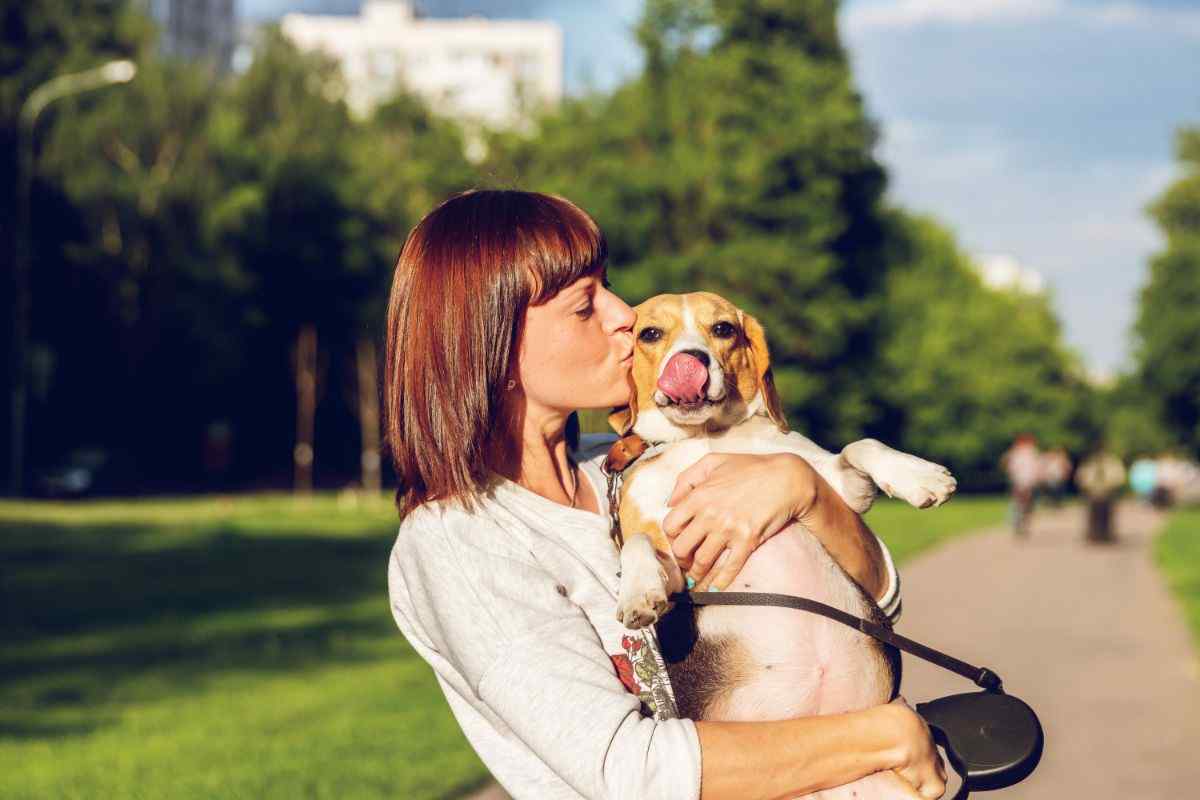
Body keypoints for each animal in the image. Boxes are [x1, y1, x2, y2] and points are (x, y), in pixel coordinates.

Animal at [609, 293, 955, 796]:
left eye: (723, 329)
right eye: (650, 334)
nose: (691, 361)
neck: (706, 438)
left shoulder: (838, 486)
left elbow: (861, 444)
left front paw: (919, 476)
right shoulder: (675, 564)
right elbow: (635, 542)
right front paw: (638, 593)